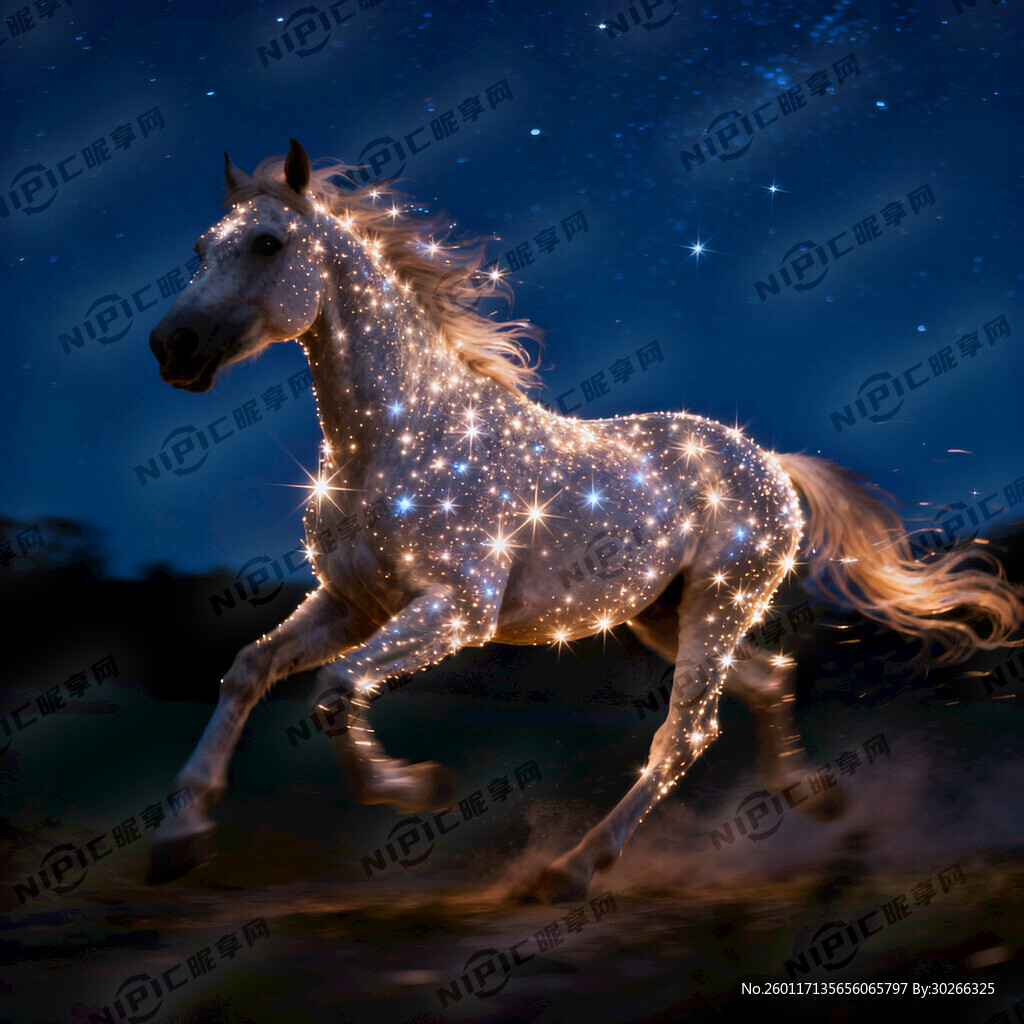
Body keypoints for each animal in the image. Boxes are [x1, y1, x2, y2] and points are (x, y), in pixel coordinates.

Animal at [146, 140, 1024, 900]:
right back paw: (818, 802)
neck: (401, 439)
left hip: (719, 604)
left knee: (685, 735)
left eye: (266, 243)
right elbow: (251, 669)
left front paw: (415, 787)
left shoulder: (455, 611)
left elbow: (333, 689)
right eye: (200, 245)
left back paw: (570, 870)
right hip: (665, 617)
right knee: (768, 680)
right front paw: (179, 841)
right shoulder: (351, 603)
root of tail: (770, 462)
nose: (171, 347)